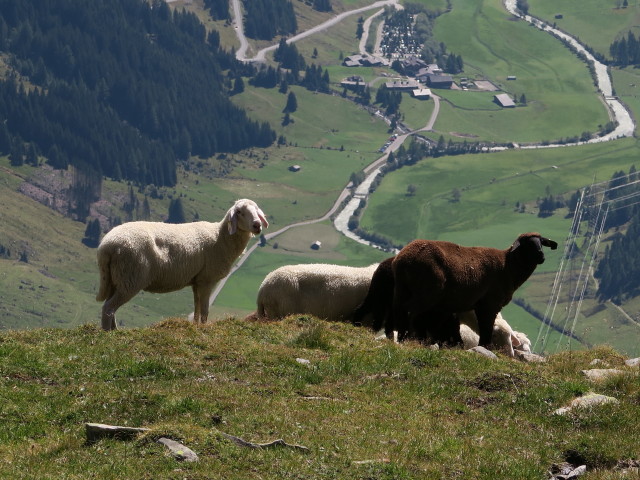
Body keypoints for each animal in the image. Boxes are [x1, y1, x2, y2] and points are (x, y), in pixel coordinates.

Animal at [95, 199, 268, 330]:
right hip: (130, 277)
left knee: (110, 307)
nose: (257, 225)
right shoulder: (207, 279)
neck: (220, 238)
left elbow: (197, 308)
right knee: (108, 308)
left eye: (257, 210)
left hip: (115, 279)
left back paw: (115, 330)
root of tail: (106, 246)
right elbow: (204, 310)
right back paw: (107, 333)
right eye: (239, 212)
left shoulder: (197, 281)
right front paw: (204, 327)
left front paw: (196, 326)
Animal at [390, 232, 556, 344]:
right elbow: (487, 329)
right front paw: (485, 347)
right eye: (528, 244)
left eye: (542, 242)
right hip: (426, 292)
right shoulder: (490, 304)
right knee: (410, 311)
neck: (508, 267)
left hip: (403, 289)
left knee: (400, 310)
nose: (541, 256)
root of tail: (403, 258)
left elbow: (484, 328)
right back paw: (409, 338)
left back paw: (398, 337)